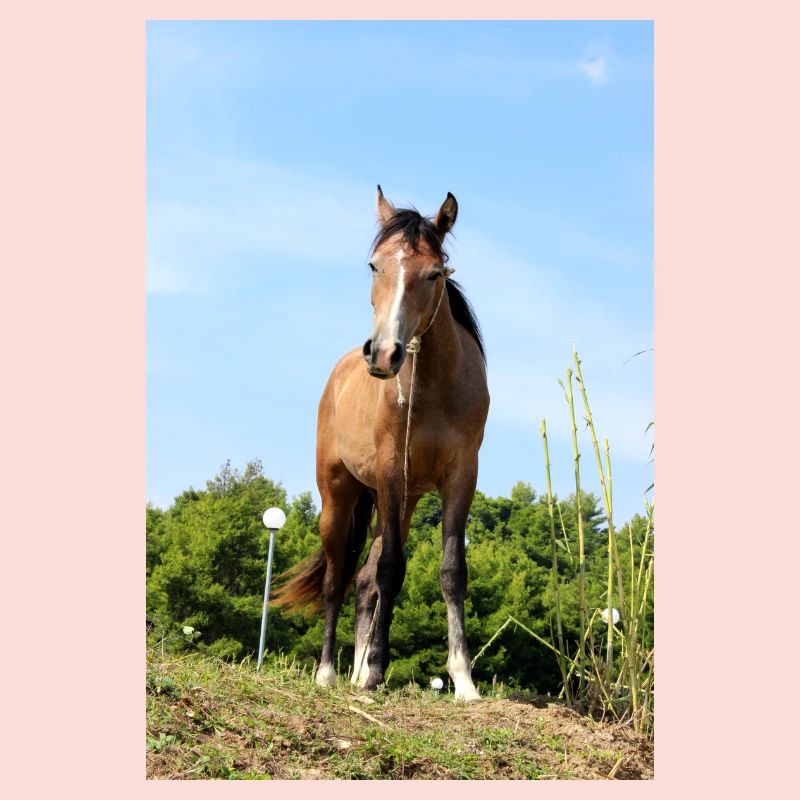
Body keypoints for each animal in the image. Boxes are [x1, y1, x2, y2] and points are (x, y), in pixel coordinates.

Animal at [272, 187, 489, 701]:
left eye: (434, 273)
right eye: (374, 266)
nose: (384, 353)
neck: (433, 386)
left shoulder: (460, 477)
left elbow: (451, 572)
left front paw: (463, 679)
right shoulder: (392, 472)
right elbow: (391, 570)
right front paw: (374, 673)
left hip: (402, 502)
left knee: (362, 581)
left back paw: (352, 670)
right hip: (340, 497)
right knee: (337, 581)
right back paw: (330, 672)